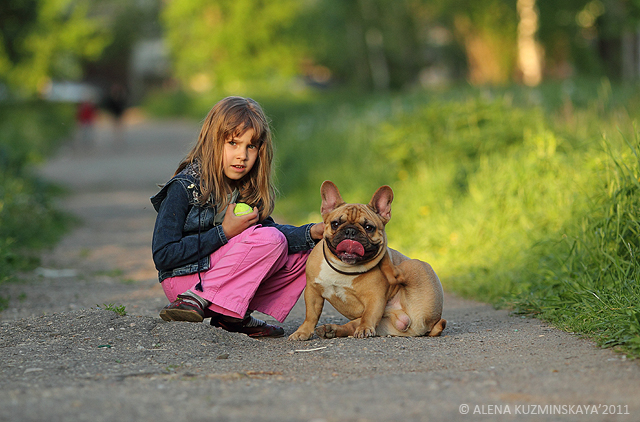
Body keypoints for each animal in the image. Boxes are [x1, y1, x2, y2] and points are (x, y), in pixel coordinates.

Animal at [290, 181, 444, 340]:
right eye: (335, 224)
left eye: (369, 227)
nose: (350, 231)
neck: (343, 268)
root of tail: (428, 325)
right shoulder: (312, 291)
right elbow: (311, 314)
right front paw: (303, 331)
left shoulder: (375, 297)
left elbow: (369, 315)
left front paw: (364, 328)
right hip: (383, 323)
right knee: (352, 325)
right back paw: (331, 330)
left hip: (416, 264)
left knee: (396, 274)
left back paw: (385, 256)